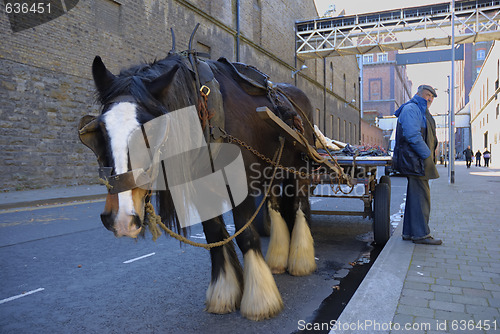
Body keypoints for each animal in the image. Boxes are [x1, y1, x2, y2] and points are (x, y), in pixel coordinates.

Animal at [78, 31, 316, 320]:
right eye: (100, 130)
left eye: (152, 130)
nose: (120, 219)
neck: (209, 118)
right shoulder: (203, 191)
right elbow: (215, 235)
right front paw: (223, 293)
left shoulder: (239, 187)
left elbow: (246, 235)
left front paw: (260, 299)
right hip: (272, 170)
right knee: (275, 206)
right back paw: (279, 259)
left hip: (299, 170)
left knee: (299, 205)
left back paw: (301, 260)